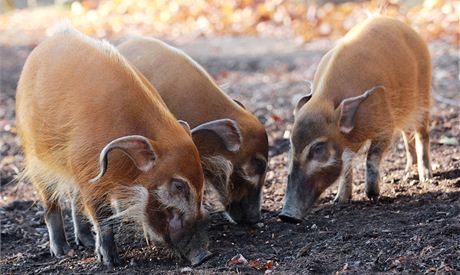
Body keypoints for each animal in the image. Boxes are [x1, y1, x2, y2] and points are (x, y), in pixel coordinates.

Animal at [15, 28, 241, 268]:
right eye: (178, 186)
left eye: (201, 182)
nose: (205, 255)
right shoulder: (89, 176)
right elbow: (103, 217)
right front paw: (110, 261)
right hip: (36, 159)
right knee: (51, 205)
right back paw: (61, 251)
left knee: (75, 202)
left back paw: (85, 242)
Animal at [278, 16, 434, 223]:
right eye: (291, 145)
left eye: (318, 148)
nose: (286, 215)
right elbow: (346, 166)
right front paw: (339, 201)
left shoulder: (385, 127)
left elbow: (371, 158)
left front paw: (373, 196)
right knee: (407, 133)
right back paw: (408, 172)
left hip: (423, 97)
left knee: (421, 134)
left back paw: (426, 177)